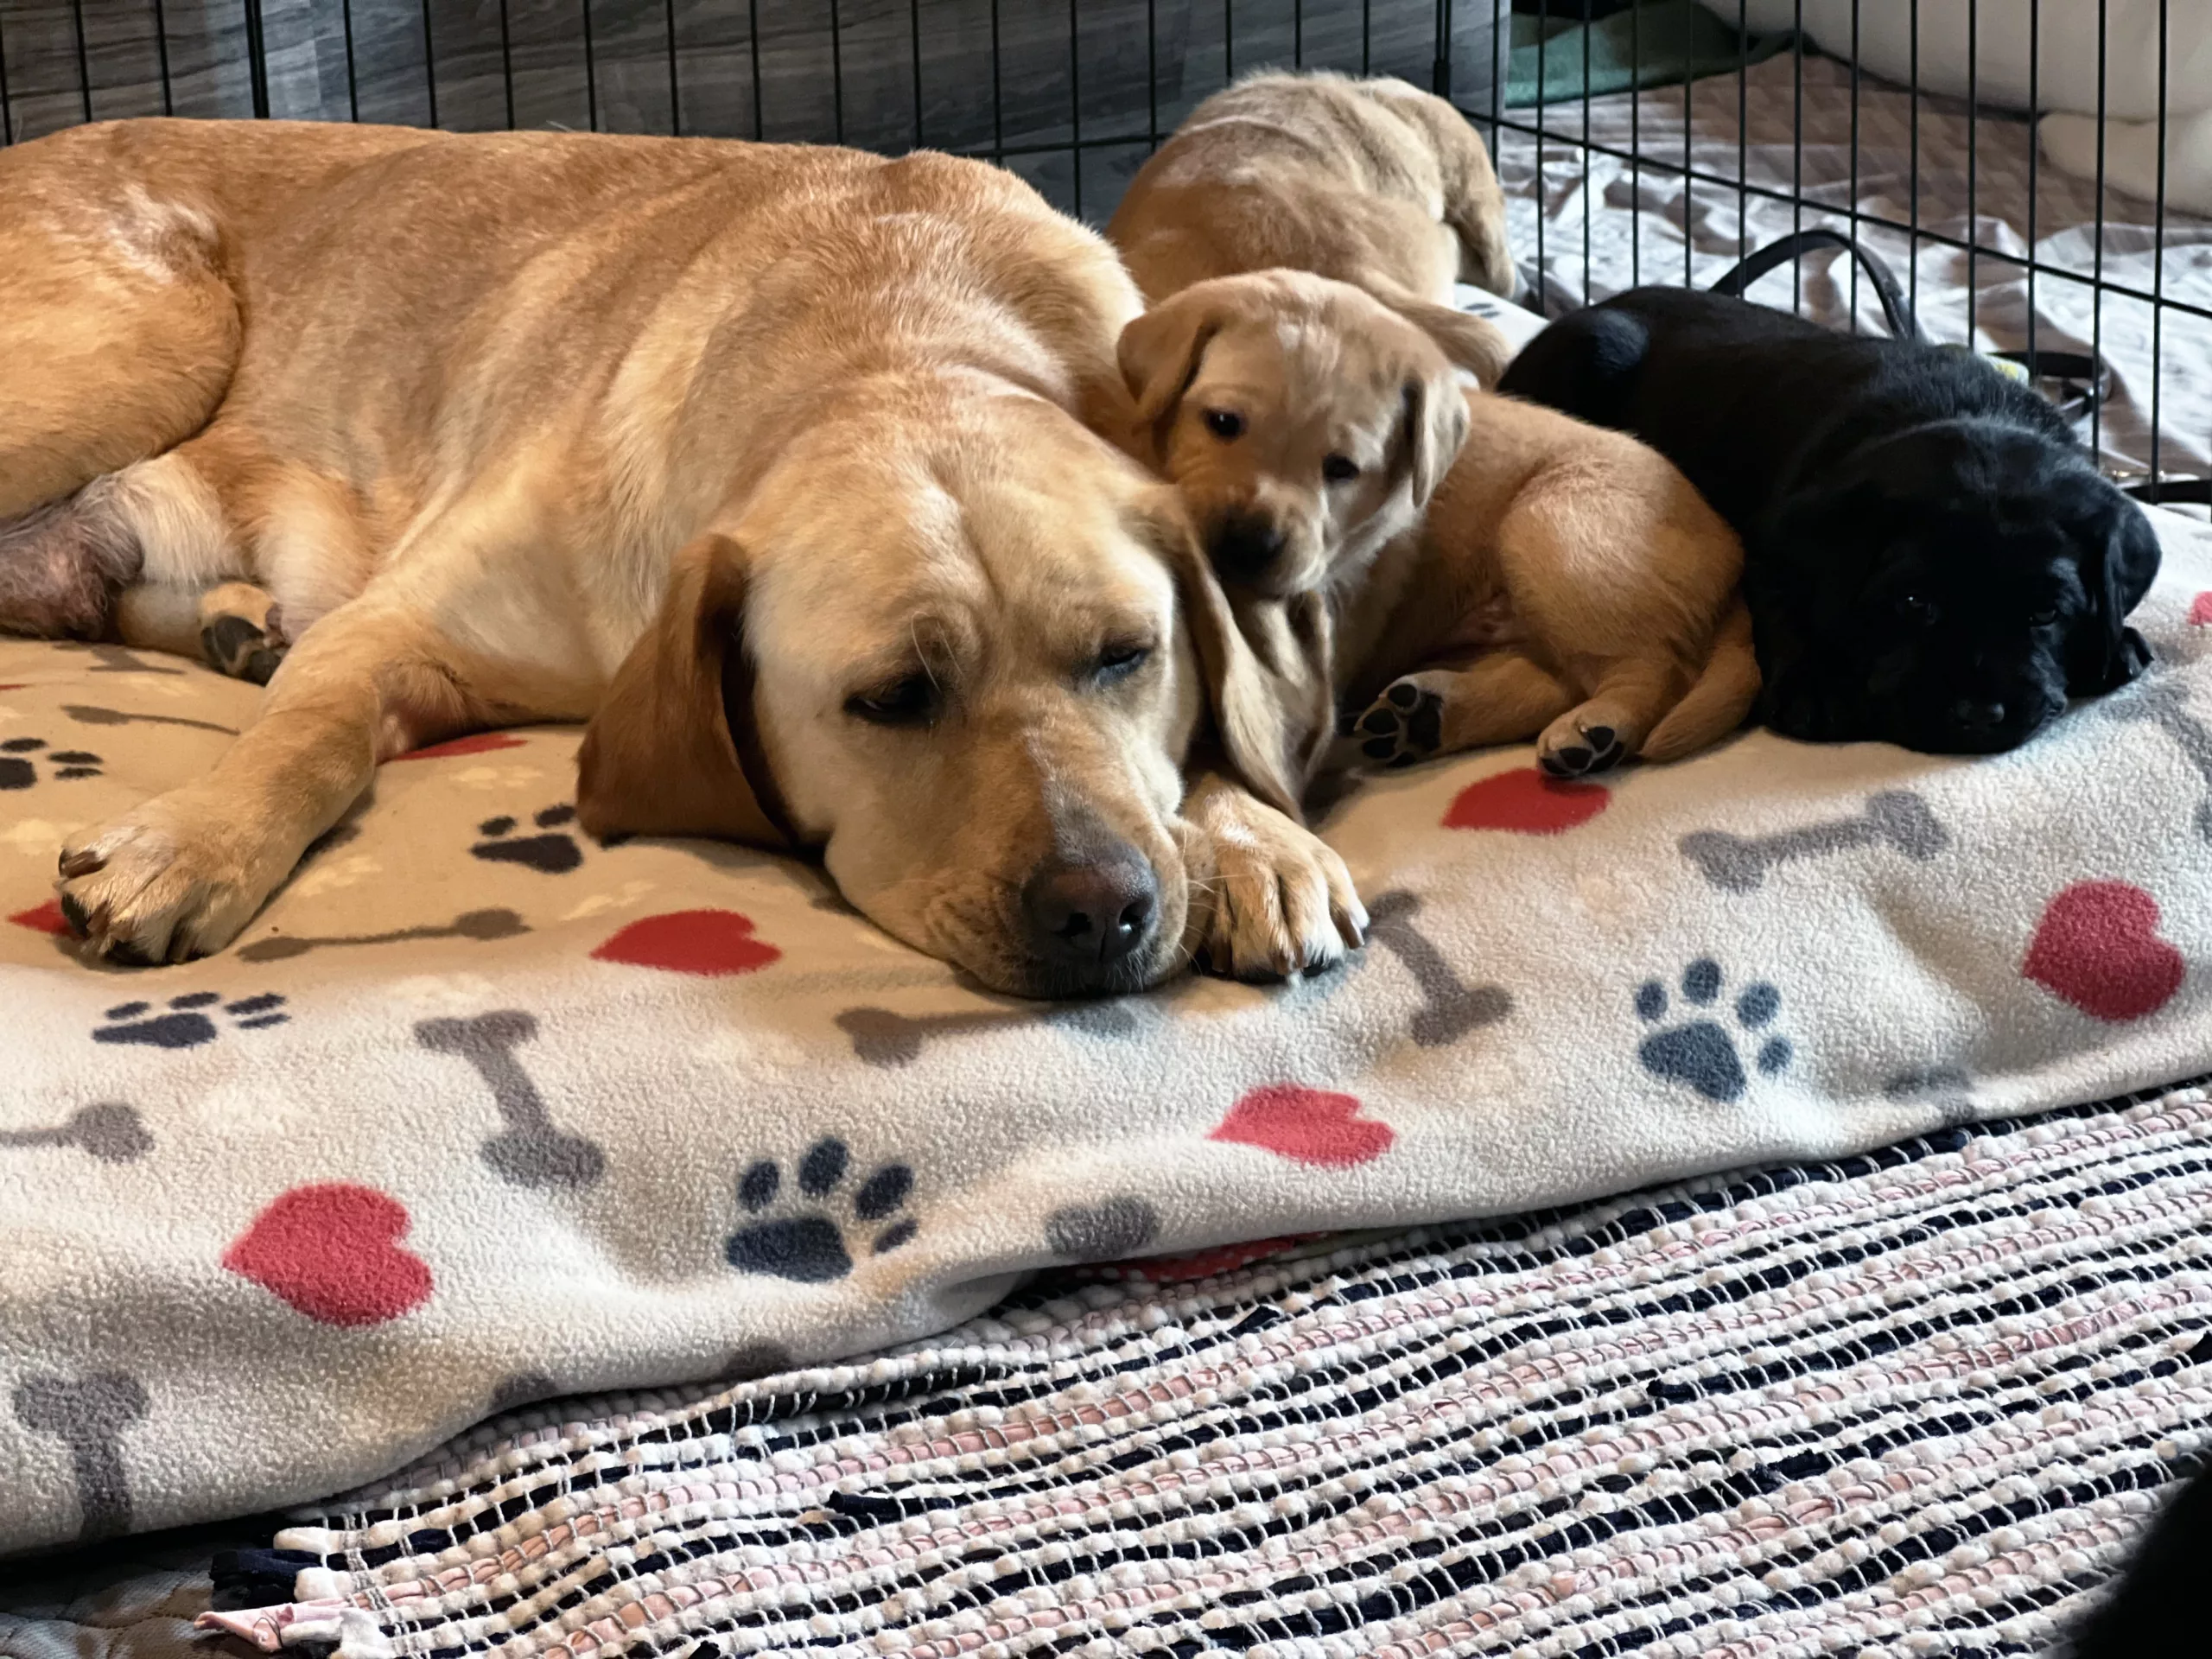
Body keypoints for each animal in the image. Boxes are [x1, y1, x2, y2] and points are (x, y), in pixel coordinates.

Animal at [0, 123, 1353, 1000]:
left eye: (1128, 655)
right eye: (891, 699)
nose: (1101, 911)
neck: (898, 340)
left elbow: (1228, 728)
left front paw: (1255, 839)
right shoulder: (393, 629)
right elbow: (308, 735)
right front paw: (196, 838)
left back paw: (235, 622)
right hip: (155, 341)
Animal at [1123, 270, 1760, 787]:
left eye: (1342, 469)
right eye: (1223, 422)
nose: (1249, 545)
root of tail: (1729, 546)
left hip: (1554, 528)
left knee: (1654, 669)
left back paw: (1598, 729)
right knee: (1552, 679)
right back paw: (1426, 718)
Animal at [1495, 289, 2150, 756]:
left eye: (2047, 613)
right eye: (1913, 602)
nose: (1977, 717)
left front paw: (2117, 644)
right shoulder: (1771, 550)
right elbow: (1785, 611)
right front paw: (1815, 688)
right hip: (1588, 348)